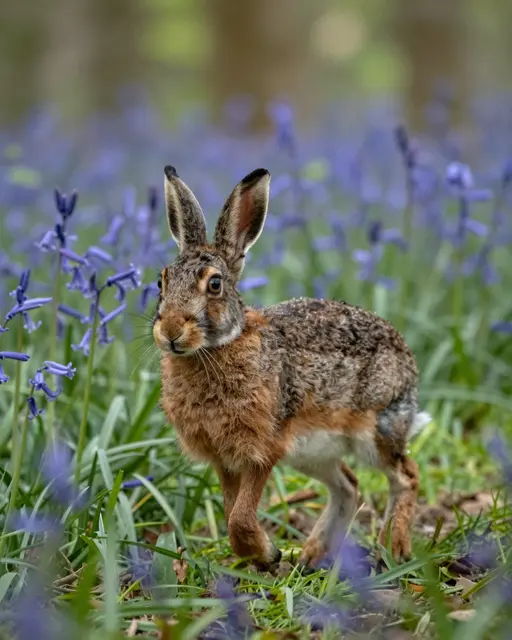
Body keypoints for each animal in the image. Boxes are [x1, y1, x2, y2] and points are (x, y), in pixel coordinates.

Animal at [153, 165, 431, 572]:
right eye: (162, 281)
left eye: (214, 284)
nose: (171, 330)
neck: (219, 347)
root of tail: (407, 361)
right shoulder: (224, 459)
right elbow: (230, 513)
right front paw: (262, 556)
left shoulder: (262, 449)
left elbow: (240, 516)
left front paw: (267, 553)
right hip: (313, 452)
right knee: (348, 485)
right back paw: (312, 555)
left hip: (375, 431)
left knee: (406, 476)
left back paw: (393, 549)